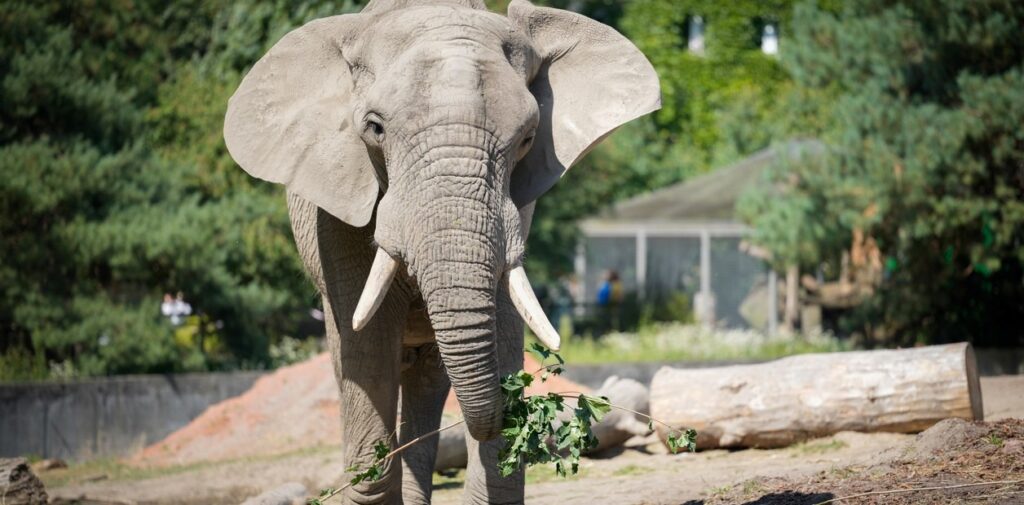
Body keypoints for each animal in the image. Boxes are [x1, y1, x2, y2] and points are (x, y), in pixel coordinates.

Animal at [223, 0, 659, 503]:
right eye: (374, 128)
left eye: (528, 138)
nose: (505, 412)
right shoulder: (334, 206)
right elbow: (365, 344)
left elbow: (504, 319)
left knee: (428, 377)